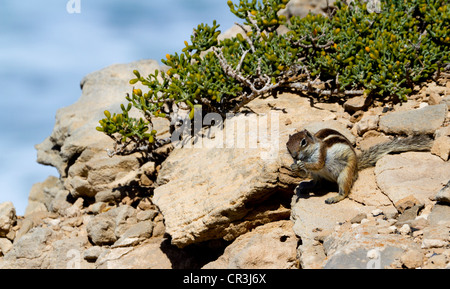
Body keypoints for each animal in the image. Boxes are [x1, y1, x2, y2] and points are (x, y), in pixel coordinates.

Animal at [286, 127, 434, 204]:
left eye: (303, 142)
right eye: (287, 145)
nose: (294, 156)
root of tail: (357, 168)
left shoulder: (320, 154)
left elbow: (317, 164)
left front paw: (302, 164)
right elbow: (305, 173)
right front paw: (294, 167)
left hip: (345, 174)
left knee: (344, 191)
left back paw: (334, 198)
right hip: (317, 176)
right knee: (317, 183)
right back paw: (306, 186)